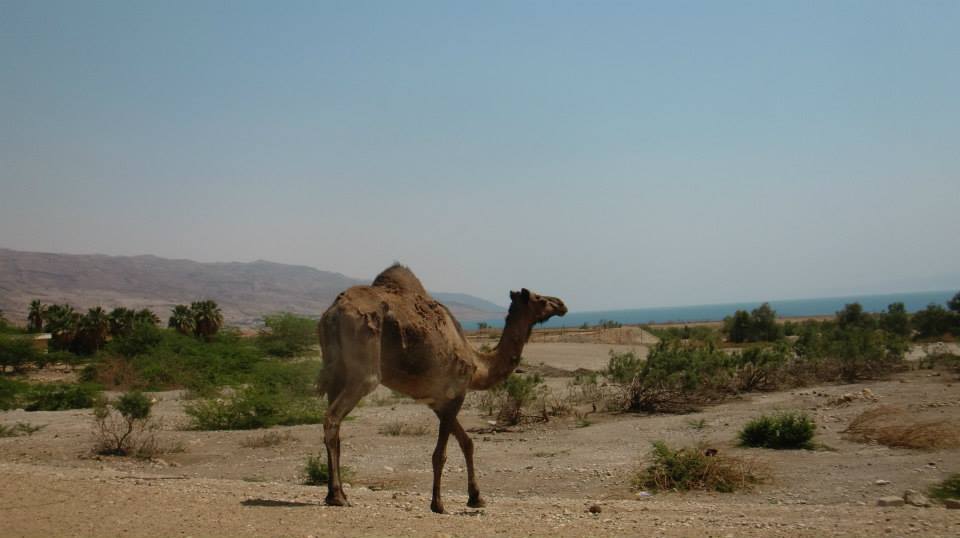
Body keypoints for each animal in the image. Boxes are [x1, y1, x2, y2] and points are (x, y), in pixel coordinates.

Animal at [318, 264, 567, 513]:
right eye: (539, 298)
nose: (562, 304)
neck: (478, 365)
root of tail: (333, 313)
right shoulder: (455, 394)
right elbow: (440, 454)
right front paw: (438, 503)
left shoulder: (438, 403)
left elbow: (467, 443)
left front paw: (476, 497)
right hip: (363, 368)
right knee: (332, 418)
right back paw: (337, 496)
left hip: (336, 373)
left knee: (335, 425)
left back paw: (335, 493)